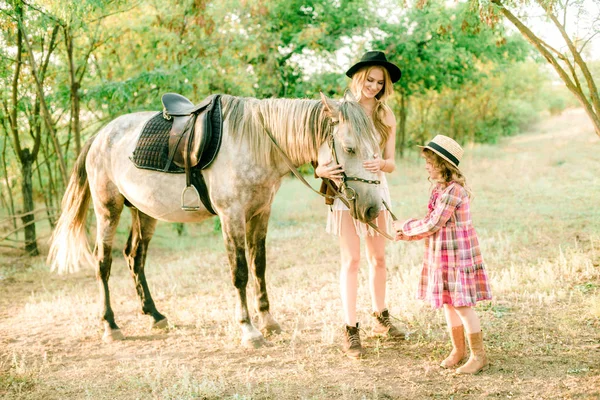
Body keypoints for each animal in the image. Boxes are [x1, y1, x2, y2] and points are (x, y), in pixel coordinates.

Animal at [47, 92, 384, 348]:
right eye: (350, 148)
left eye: (376, 146)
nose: (372, 210)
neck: (255, 142)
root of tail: (100, 136)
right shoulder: (231, 216)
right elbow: (240, 273)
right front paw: (249, 330)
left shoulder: (260, 213)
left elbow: (259, 267)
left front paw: (268, 320)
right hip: (108, 209)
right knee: (103, 262)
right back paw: (110, 325)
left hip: (143, 212)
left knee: (135, 257)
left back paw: (154, 315)